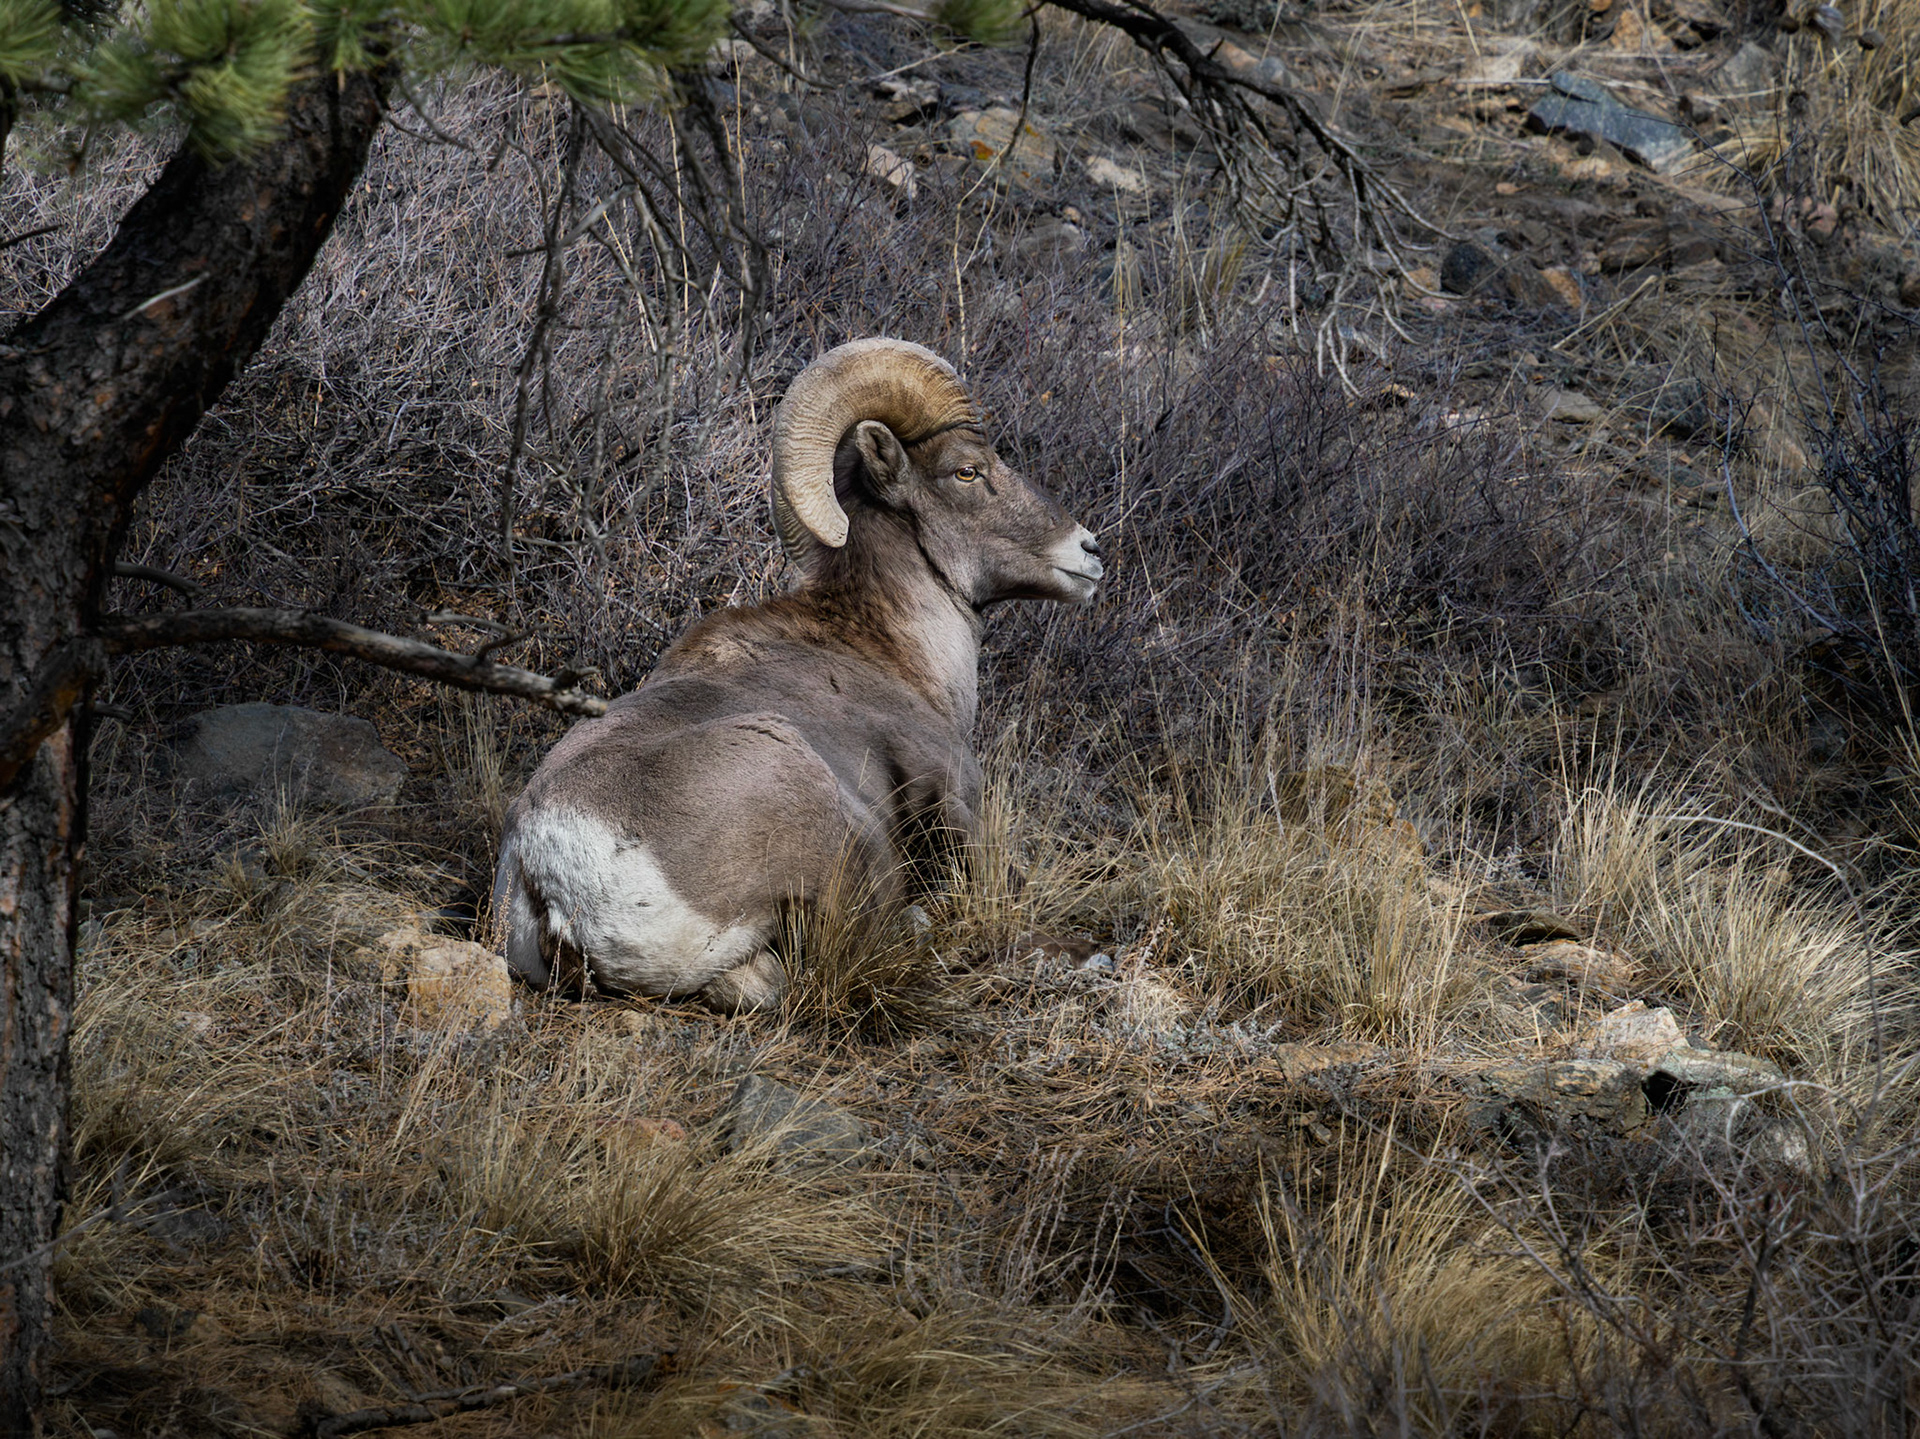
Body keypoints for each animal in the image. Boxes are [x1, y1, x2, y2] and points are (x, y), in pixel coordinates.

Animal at [489, 337, 1103, 1012]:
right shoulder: (955, 801)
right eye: (967, 470)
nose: (1089, 551)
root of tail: (554, 875)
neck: (895, 652)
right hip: (838, 833)